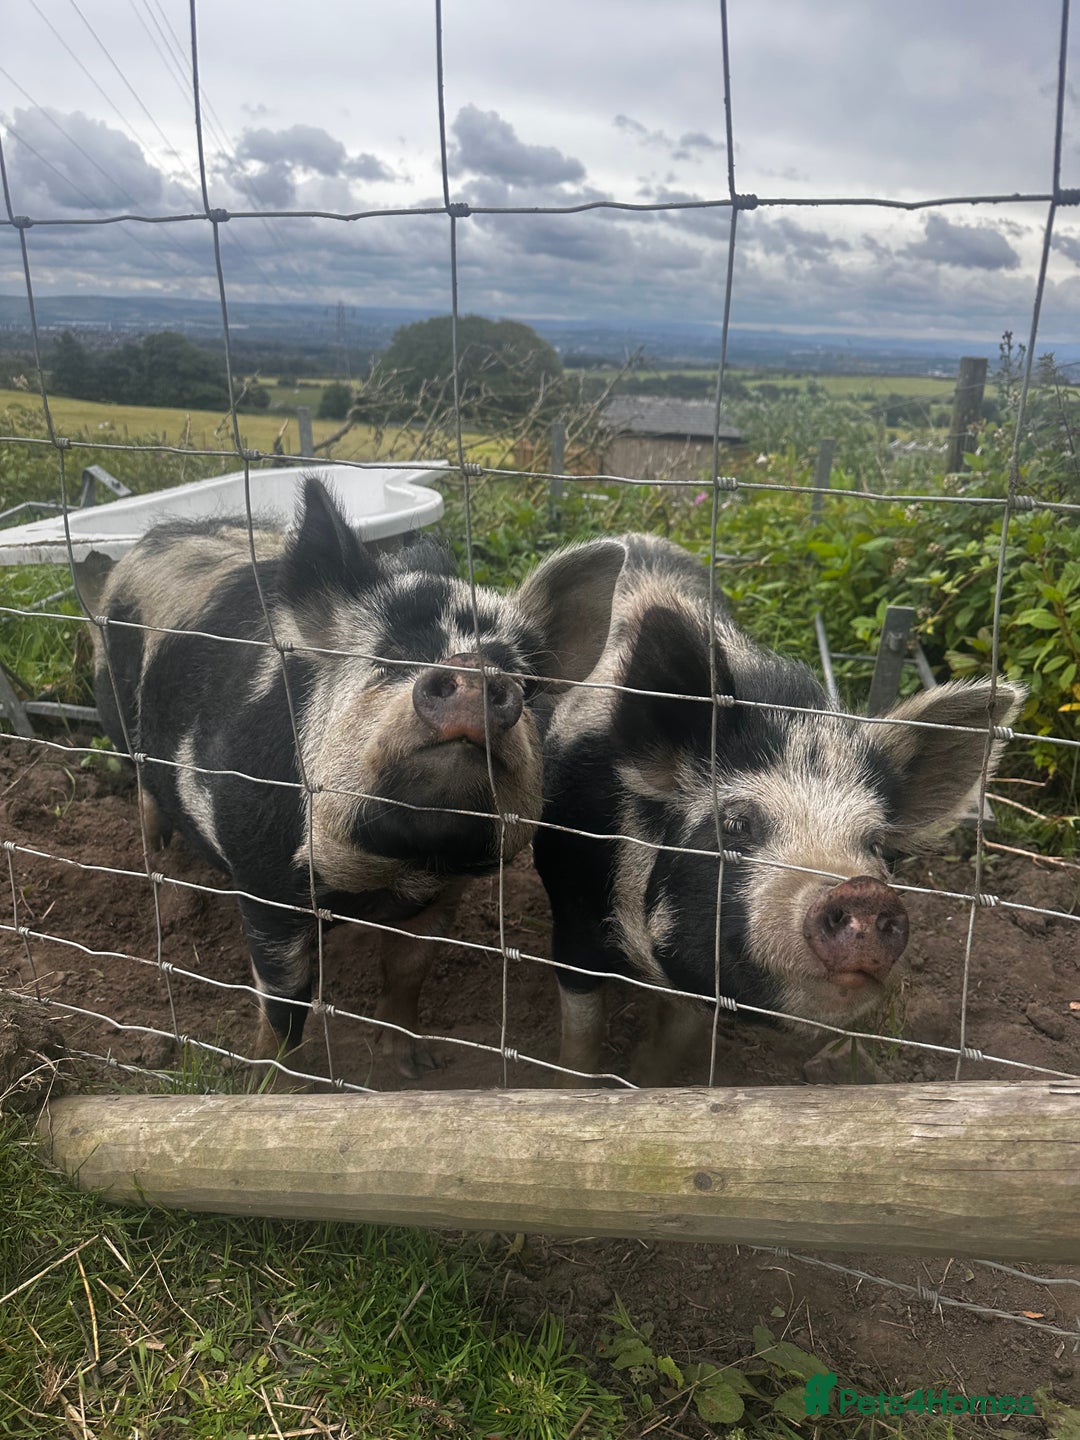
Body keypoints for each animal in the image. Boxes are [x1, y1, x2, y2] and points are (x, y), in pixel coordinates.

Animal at [90, 476, 625, 1074]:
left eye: (523, 681)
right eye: (388, 660)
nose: (470, 669)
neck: (391, 869)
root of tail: (155, 537)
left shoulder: (445, 892)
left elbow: (409, 971)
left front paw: (412, 1066)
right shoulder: (263, 879)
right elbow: (285, 999)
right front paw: (273, 1078)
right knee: (145, 796)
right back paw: (158, 862)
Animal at [532, 532, 1025, 1084]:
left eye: (877, 845)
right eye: (736, 823)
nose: (862, 891)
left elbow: (674, 1041)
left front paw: (648, 1080)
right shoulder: (572, 911)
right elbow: (582, 1029)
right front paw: (568, 1084)